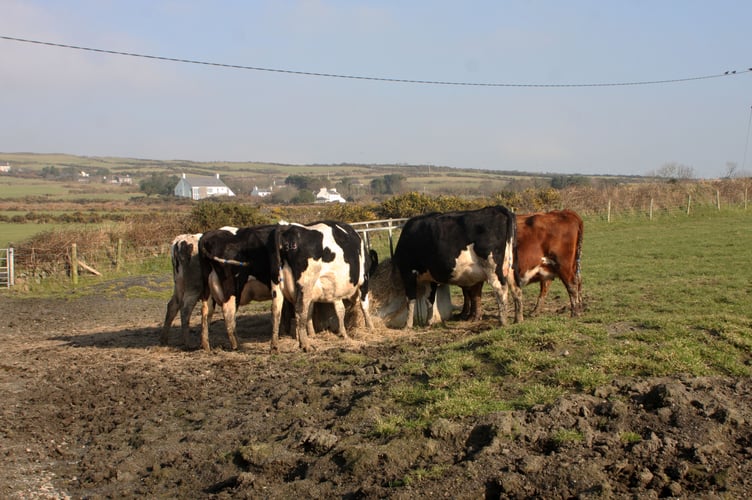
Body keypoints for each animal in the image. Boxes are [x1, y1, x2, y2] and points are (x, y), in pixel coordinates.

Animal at [270, 221, 376, 354]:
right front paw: (370, 328)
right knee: (299, 311)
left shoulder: (334, 291)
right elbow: (364, 306)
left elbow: (338, 310)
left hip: (276, 285)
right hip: (305, 284)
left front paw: (340, 334)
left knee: (276, 312)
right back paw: (305, 345)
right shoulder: (364, 280)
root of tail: (287, 227)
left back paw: (274, 347)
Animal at [390, 206, 520, 328]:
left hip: (492, 268)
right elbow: (429, 300)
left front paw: (407, 325)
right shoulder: (430, 278)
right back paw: (518, 319)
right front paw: (428, 322)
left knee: (501, 289)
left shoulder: (408, 273)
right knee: (515, 288)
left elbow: (410, 300)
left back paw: (503, 322)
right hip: (509, 268)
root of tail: (497, 208)